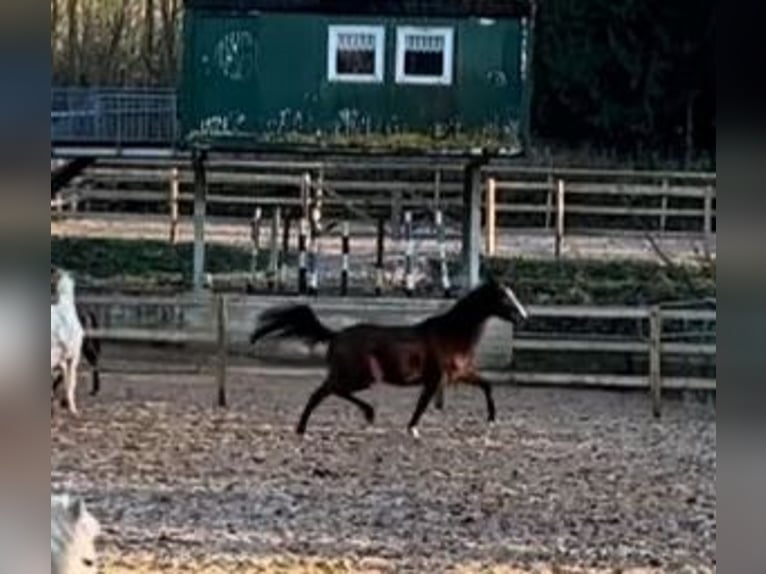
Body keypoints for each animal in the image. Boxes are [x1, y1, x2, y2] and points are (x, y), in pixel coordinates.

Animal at [252, 282, 528, 438]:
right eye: (504, 298)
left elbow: (487, 385)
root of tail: (336, 335)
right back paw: (364, 414)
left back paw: (304, 428)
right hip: (360, 376)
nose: (523, 316)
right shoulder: (435, 378)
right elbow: (422, 405)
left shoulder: (458, 374)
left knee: (324, 392)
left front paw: (492, 420)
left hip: (354, 376)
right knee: (325, 391)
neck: (452, 333)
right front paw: (413, 429)